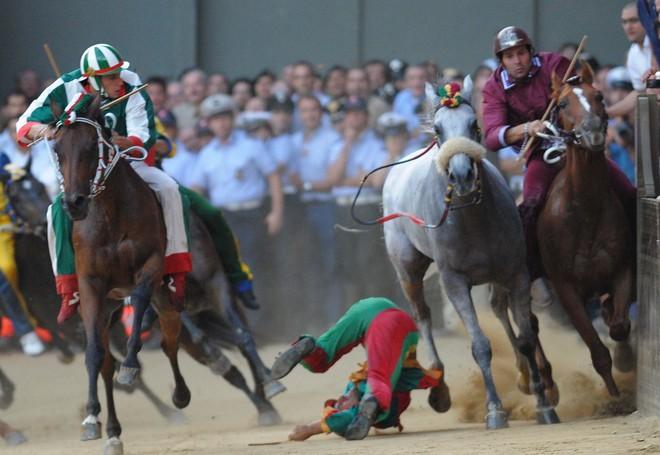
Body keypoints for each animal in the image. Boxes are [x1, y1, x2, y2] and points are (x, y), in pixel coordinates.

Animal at [51, 95, 190, 453]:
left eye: (91, 146)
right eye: (57, 149)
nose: (74, 203)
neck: (110, 216)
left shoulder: (150, 265)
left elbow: (139, 301)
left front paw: (130, 365)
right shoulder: (90, 285)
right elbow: (95, 355)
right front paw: (91, 420)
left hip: (165, 299)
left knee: (170, 341)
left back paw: (180, 395)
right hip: (105, 307)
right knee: (104, 362)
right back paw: (112, 431)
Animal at [382, 82, 559, 429]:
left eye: (474, 123)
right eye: (438, 129)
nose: (461, 175)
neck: (473, 219)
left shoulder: (516, 272)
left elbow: (526, 338)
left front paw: (543, 404)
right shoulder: (454, 281)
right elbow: (480, 345)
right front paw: (495, 410)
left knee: (500, 310)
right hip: (407, 266)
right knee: (422, 315)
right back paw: (439, 387)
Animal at [537, 65, 635, 397]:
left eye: (600, 96)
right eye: (563, 104)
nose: (593, 132)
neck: (586, 212)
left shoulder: (621, 269)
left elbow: (619, 326)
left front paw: (626, 360)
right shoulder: (566, 288)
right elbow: (598, 352)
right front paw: (615, 396)